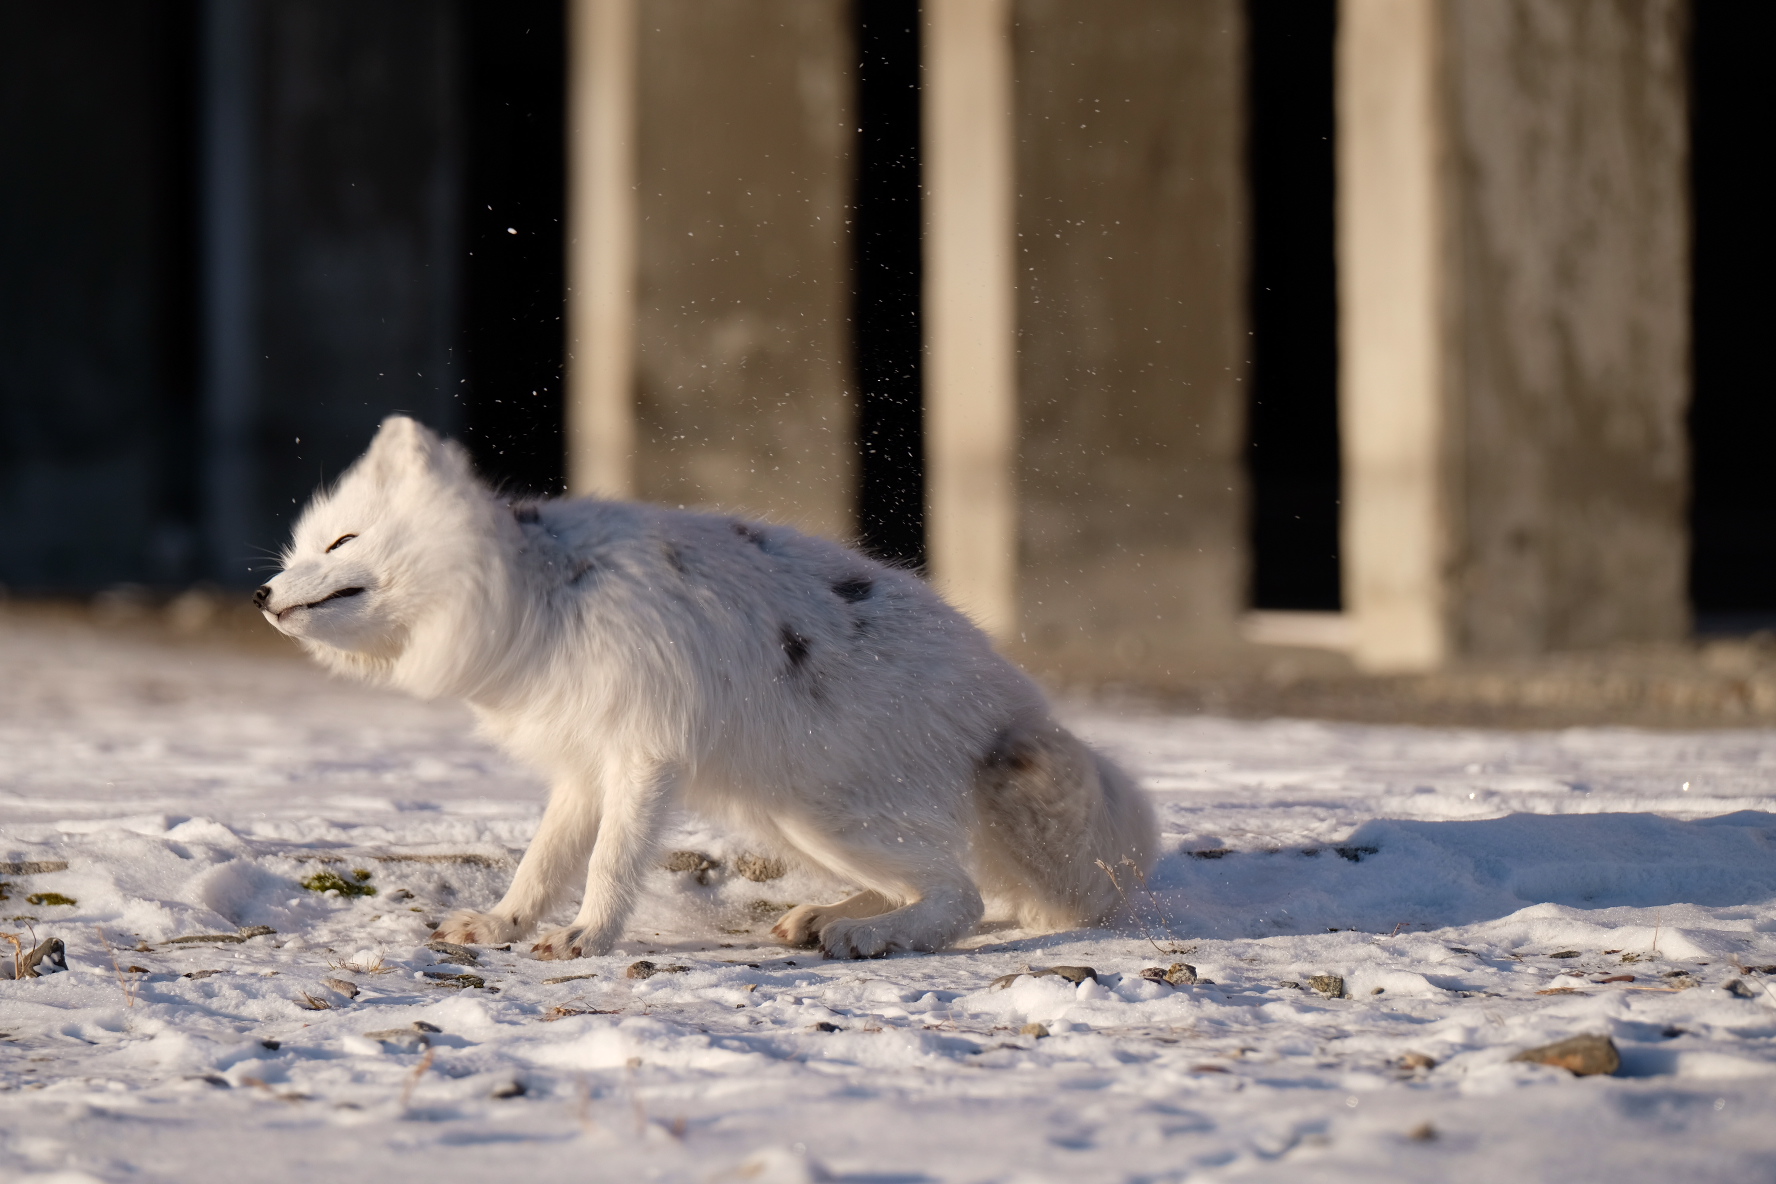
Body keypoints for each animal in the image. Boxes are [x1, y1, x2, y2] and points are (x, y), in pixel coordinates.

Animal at [257, 420, 1157, 958]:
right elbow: (544, 862)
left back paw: (872, 938)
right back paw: (829, 918)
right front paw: (504, 923)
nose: (264, 596)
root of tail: (1007, 697)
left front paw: (589, 937)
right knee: (933, 885)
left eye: (342, 541)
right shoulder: (582, 766)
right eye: (299, 548)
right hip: (790, 817)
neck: (545, 596)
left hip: (832, 816)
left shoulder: (644, 755)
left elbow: (610, 862)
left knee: (962, 898)